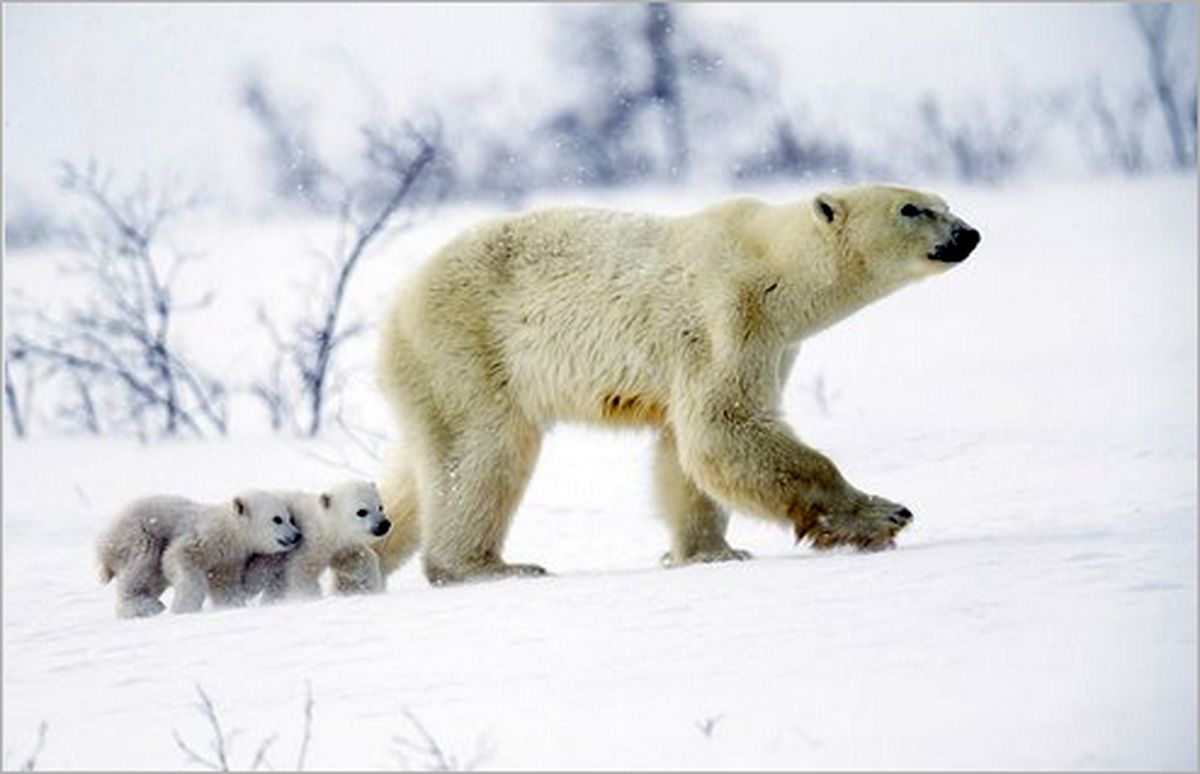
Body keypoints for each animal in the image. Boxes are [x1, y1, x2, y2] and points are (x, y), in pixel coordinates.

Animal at [100, 492, 302, 619]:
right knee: (142, 565)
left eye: (290, 518)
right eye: (277, 519)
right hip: (139, 534)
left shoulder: (229, 559)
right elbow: (177, 556)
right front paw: (184, 608)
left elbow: (225, 585)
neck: (231, 531)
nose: (297, 535)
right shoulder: (206, 537)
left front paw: (233, 605)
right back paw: (145, 606)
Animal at [241, 480, 391, 600]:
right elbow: (301, 573)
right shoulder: (308, 544)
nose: (384, 524)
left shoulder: (338, 547)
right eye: (362, 511)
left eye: (380, 507)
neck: (323, 524)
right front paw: (310, 598)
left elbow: (358, 559)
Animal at [369, 183, 979, 583]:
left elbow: (685, 453)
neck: (775, 264)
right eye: (912, 208)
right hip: (468, 344)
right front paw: (884, 514)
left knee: (418, 472)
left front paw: (710, 553)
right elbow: (723, 428)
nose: (968, 233)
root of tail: (397, 302)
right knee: (482, 453)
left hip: (431, 372)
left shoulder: (774, 345)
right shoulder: (728, 315)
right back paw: (488, 566)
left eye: (946, 203)